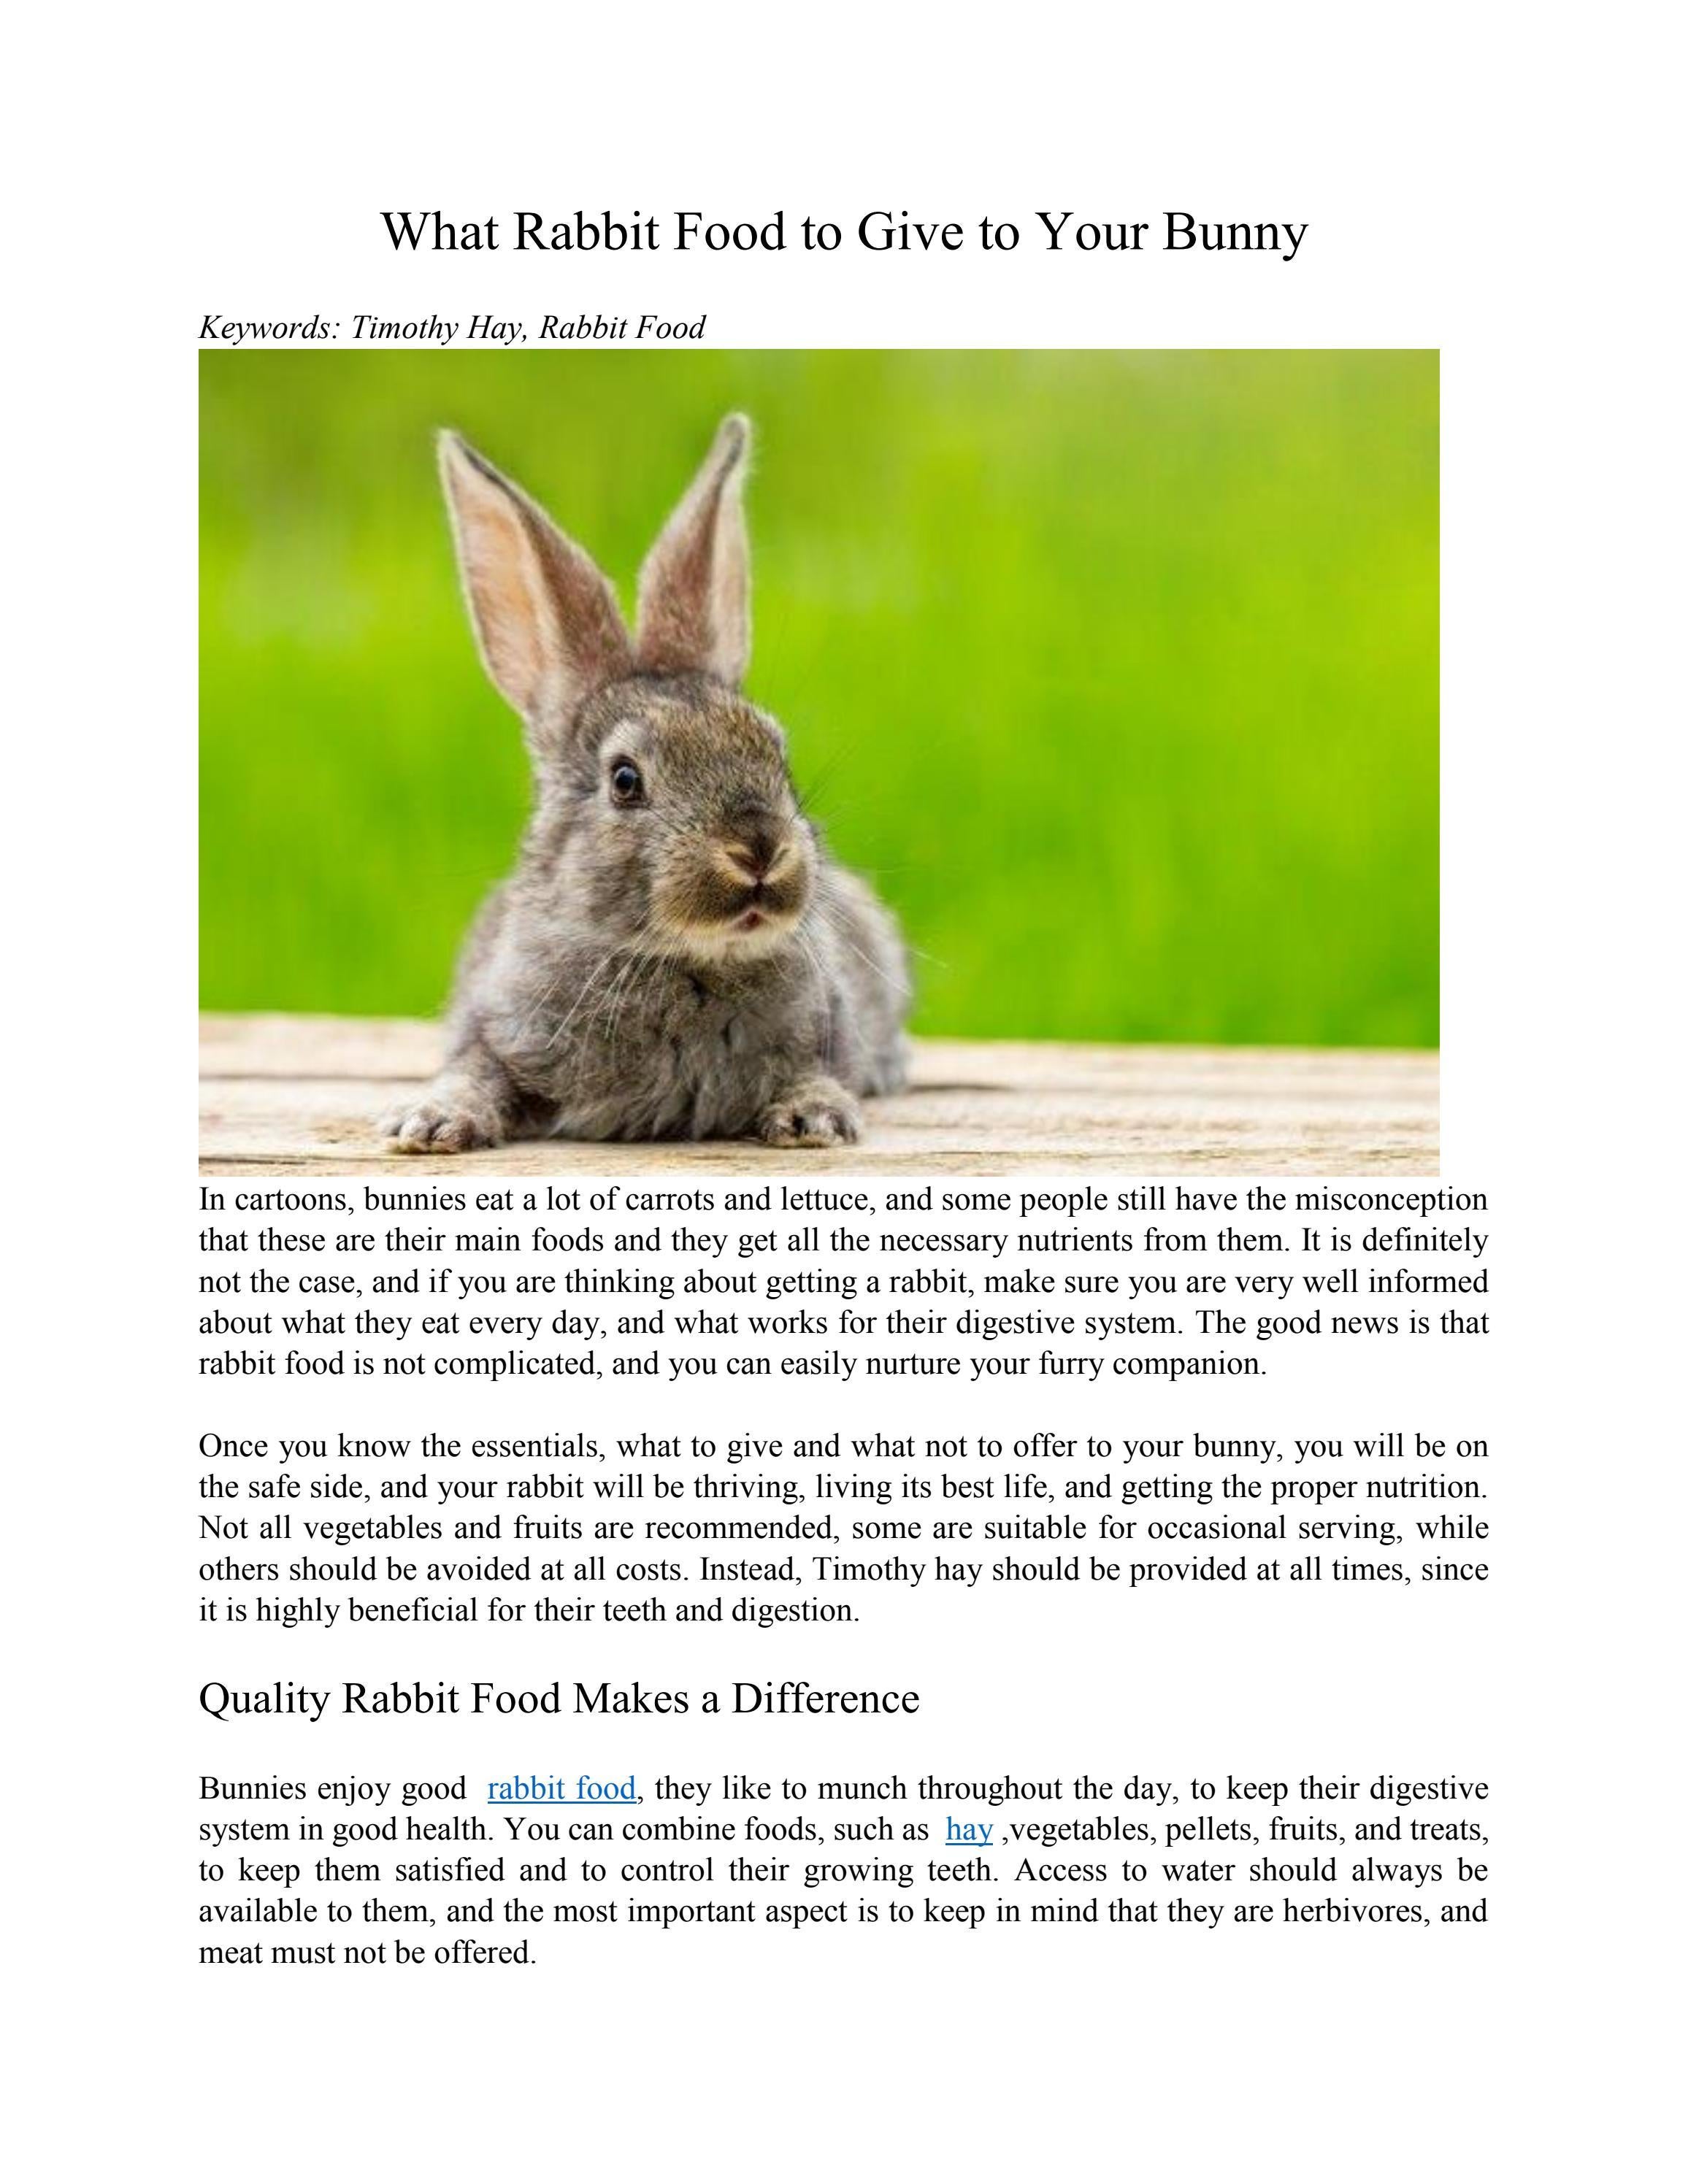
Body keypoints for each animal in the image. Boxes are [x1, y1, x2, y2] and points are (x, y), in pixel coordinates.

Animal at [383, 414, 910, 1154]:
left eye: (776, 752)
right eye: (626, 780)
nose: (759, 849)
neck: (683, 961)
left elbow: (816, 1073)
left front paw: (815, 1118)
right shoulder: (494, 1031)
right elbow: (474, 1073)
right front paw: (430, 1123)